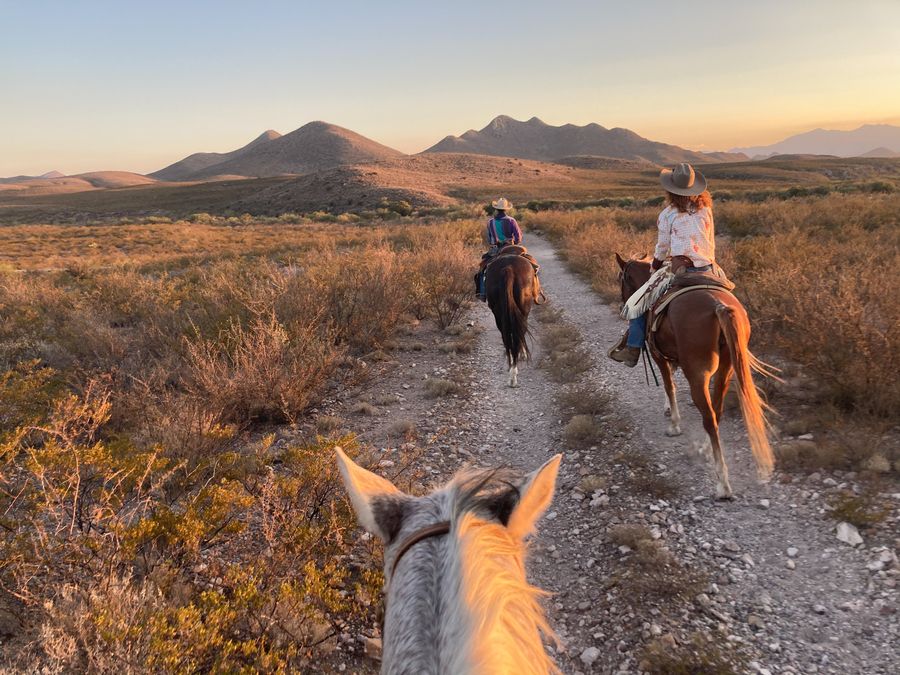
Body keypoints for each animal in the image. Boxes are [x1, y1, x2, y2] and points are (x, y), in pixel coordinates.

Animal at [486, 252, 540, 388]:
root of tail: (508, 268)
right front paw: (523, 354)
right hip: (523, 310)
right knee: (517, 334)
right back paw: (513, 376)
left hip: (499, 315)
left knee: (506, 336)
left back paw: (510, 367)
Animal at [620, 256, 772, 500]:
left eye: (622, 279)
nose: (622, 299)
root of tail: (718, 306)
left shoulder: (658, 355)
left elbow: (669, 385)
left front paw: (674, 424)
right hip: (726, 368)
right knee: (716, 411)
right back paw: (706, 449)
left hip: (697, 373)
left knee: (709, 417)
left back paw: (723, 484)